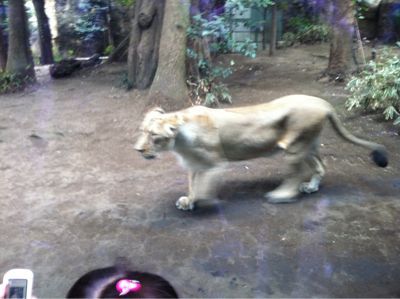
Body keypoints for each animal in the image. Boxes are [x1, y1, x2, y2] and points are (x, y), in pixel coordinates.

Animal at [134, 95, 388, 211]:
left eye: (153, 135)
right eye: (143, 131)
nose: (138, 149)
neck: (180, 140)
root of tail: (323, 103)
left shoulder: (216, 163)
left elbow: (204, 186)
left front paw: (204, 201)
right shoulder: (194, 164)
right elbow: (192, 184)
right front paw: (189, 201)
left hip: (294, 146)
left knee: (295, 175)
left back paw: (281, 195)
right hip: (308, 144)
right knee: (320, 166)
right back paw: (310, 187)